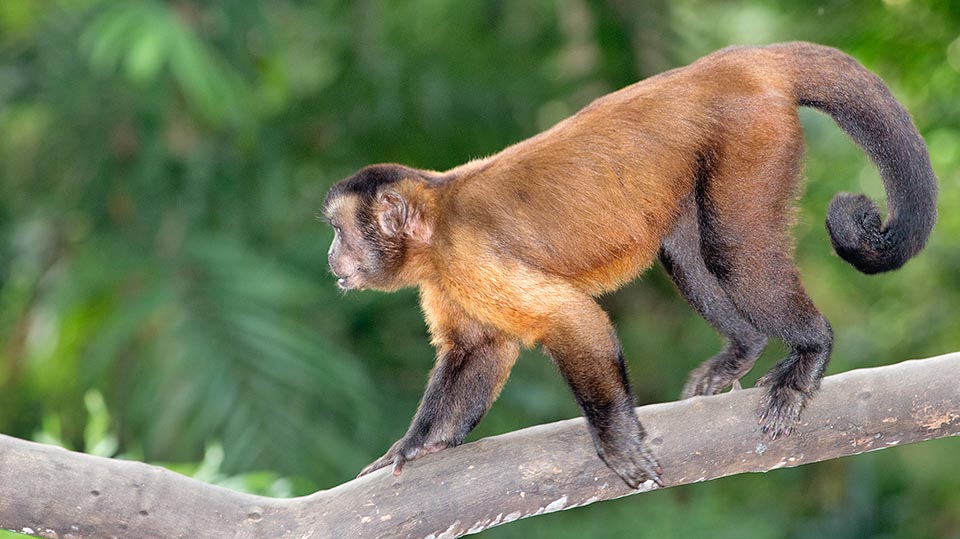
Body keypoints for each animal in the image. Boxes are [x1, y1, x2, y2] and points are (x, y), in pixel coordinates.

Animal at [322, 43, 936, 490]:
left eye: (339, 231)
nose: (330, 256)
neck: (436, 220)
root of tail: (726, 63)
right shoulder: (445, 274)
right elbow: (480, 350)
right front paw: (414, 446)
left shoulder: (465, 254)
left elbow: (571, 321)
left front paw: (615, 441)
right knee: (685, 251)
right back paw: (745, 347)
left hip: (752, 134)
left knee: (733, 250)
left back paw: (810, 351)